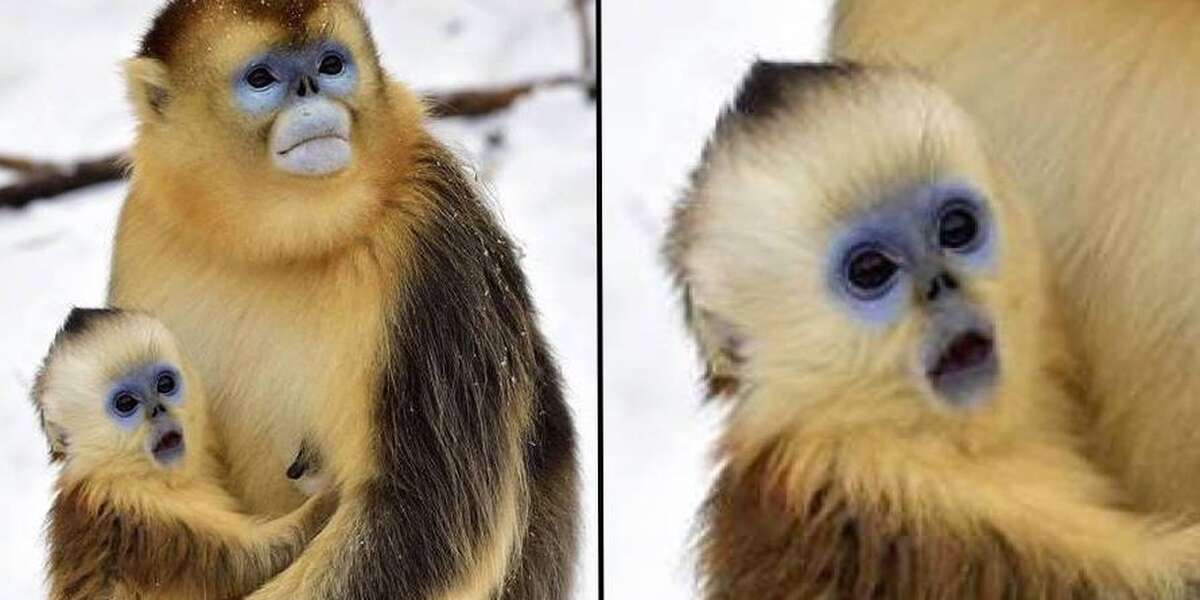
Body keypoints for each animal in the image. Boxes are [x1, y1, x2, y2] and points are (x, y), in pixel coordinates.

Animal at [31, 309, 338, 600]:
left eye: (165, 384)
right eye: (126, 403)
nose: (158, 410)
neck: (141, 475)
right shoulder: (139, 513)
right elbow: (248, 563)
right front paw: (331, 491)